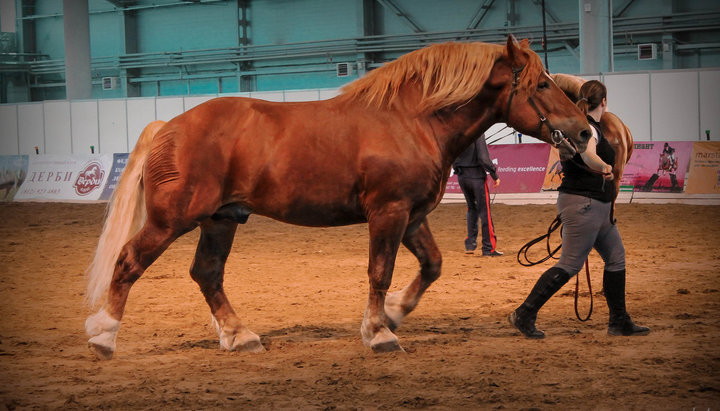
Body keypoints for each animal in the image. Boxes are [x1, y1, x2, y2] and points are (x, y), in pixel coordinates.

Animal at [84, 36, 592, 360]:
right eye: (541, 84)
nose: (585, 131)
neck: (411, 119)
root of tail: (168, 126)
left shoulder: (412, 217)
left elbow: (431, 265)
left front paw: (393, 315)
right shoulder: (388, 213)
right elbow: (380, 271)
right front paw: (380, 333)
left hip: (221, 219)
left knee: (207, 273)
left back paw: (239, 335)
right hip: (174, 220)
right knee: (129, 262)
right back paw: (105, 336)